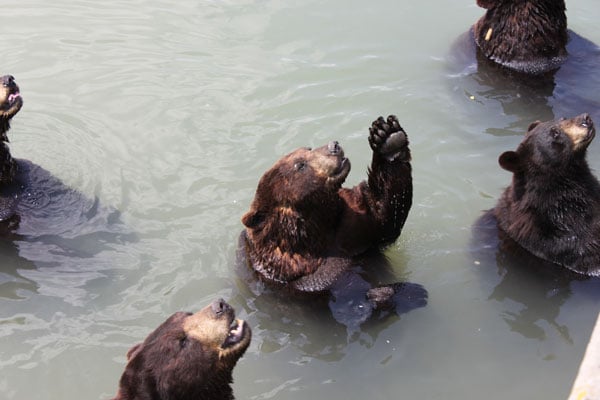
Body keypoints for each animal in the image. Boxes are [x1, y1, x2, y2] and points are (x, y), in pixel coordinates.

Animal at [238, 114, 426, 326]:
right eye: (300, 165)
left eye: (308, 148)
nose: (333, 146)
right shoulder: (293, 276)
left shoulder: (350, 226)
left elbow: (383, 215)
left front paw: (388, 137)